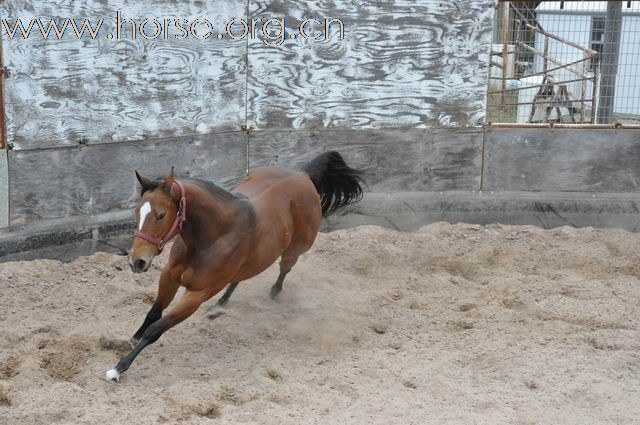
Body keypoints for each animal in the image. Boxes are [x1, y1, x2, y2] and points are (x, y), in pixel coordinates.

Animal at [105, 150, 364, 380]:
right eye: (137, 212)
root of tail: (303, 175)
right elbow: (153, 313)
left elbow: (157, 328)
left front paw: (119, 368)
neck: (211, 237)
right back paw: (222, 303)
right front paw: (131, 340)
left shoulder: (198, 294)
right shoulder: (168, 276)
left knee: (284, 269)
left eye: (160, 215)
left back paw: (273, 293)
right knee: (240, 277)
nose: (136, 261)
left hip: (294, 250)